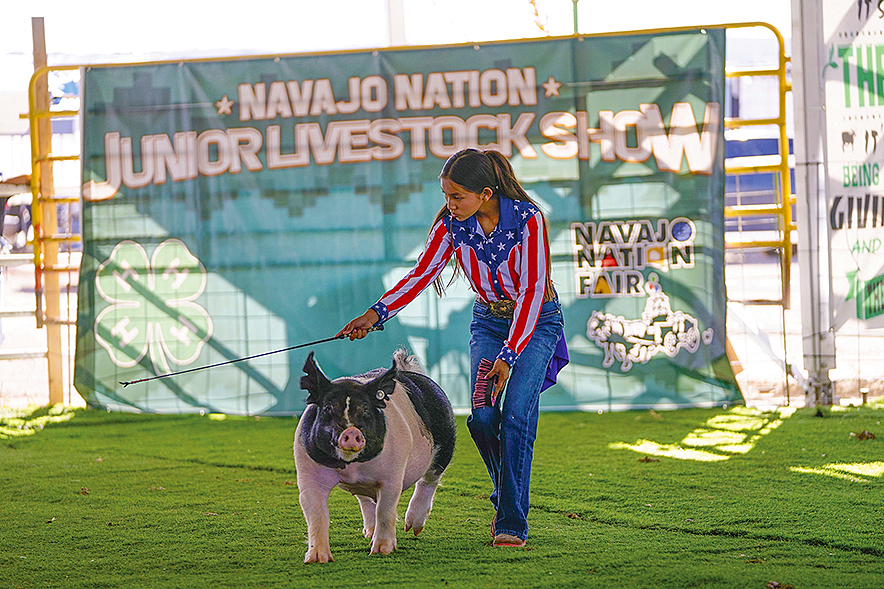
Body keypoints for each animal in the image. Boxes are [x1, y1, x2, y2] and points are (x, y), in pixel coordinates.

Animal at [294, 346, 456, 564]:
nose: (351, 431)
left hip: (446, 439)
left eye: (365, 408)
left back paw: (413, 528)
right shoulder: (308, 472)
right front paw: (317, 559)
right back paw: (369, 533)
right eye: (328, 408)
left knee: (430, 480)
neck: (352, 467)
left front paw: (381, 551)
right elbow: (316, 513)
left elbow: (385, 510)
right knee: (365, 500)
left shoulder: (392, 474)